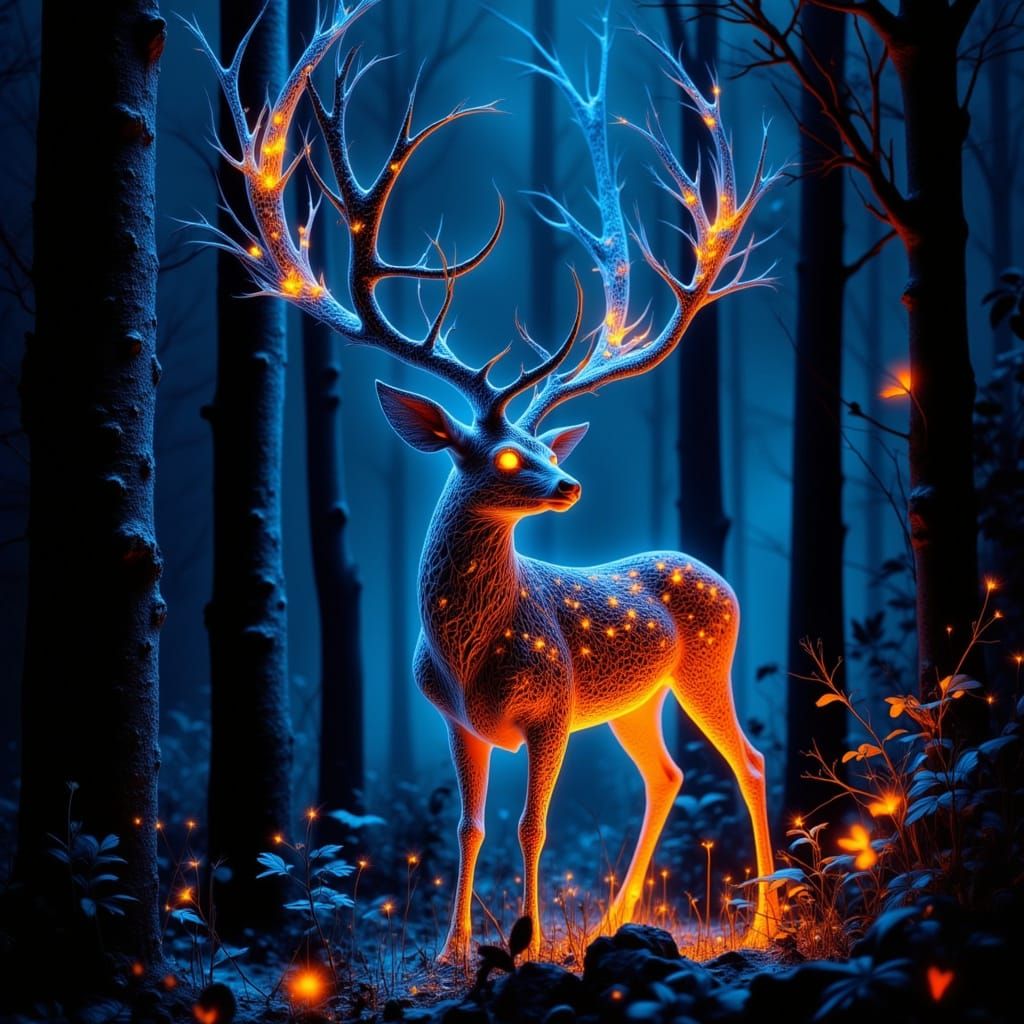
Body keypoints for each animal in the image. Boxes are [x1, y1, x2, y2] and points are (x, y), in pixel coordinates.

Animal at [186, 0, 782, 960]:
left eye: (548, 445)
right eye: (505, 454)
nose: (569, 486)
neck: (471, 661)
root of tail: (713, 572)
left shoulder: (553, 706)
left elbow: (532, 827)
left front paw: (526, 938)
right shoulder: (456, 720)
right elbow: (469, 827)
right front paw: (453, 947)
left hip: (702, 664)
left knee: (748, 760)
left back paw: (764, 917)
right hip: (634, 701)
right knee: (667, 774)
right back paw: (613, 917)